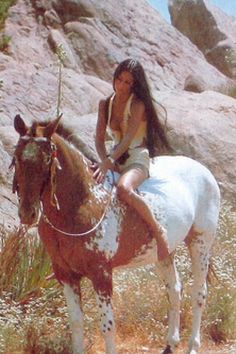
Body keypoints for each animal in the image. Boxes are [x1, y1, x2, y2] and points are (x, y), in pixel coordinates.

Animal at [12, 114, 220, 354]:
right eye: (17, 157)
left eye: (47, 159)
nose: (27, 213)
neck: (84, 201)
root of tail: (204, 171)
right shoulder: (66, 274)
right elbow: (76, 323)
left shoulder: (101, 274)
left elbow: (107, 326)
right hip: (164, 252)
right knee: (175, 289)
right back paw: (170, 344)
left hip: (200, 244)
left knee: (199, 293)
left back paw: (193, 345)